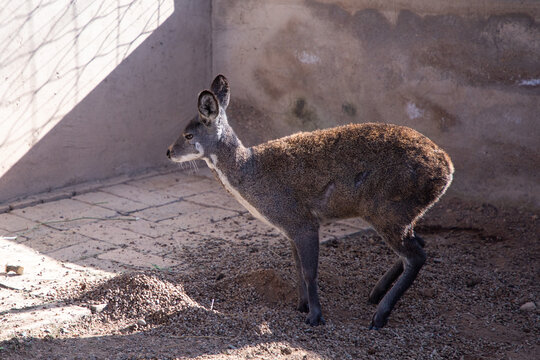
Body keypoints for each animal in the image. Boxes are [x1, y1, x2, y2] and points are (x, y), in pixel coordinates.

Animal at [167, 74, 454, 328]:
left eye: (189, 135)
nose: (169, 152)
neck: (252, 174)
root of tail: (447, 169)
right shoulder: (290, 228)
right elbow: (297, 269)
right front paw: (301, 306)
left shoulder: (302, 220)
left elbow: (309, 272)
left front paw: (315, 317)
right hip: (402, 212)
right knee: (419, 243)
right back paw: (374, 294)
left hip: (389, 208)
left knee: (416, 256)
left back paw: (379, 316)